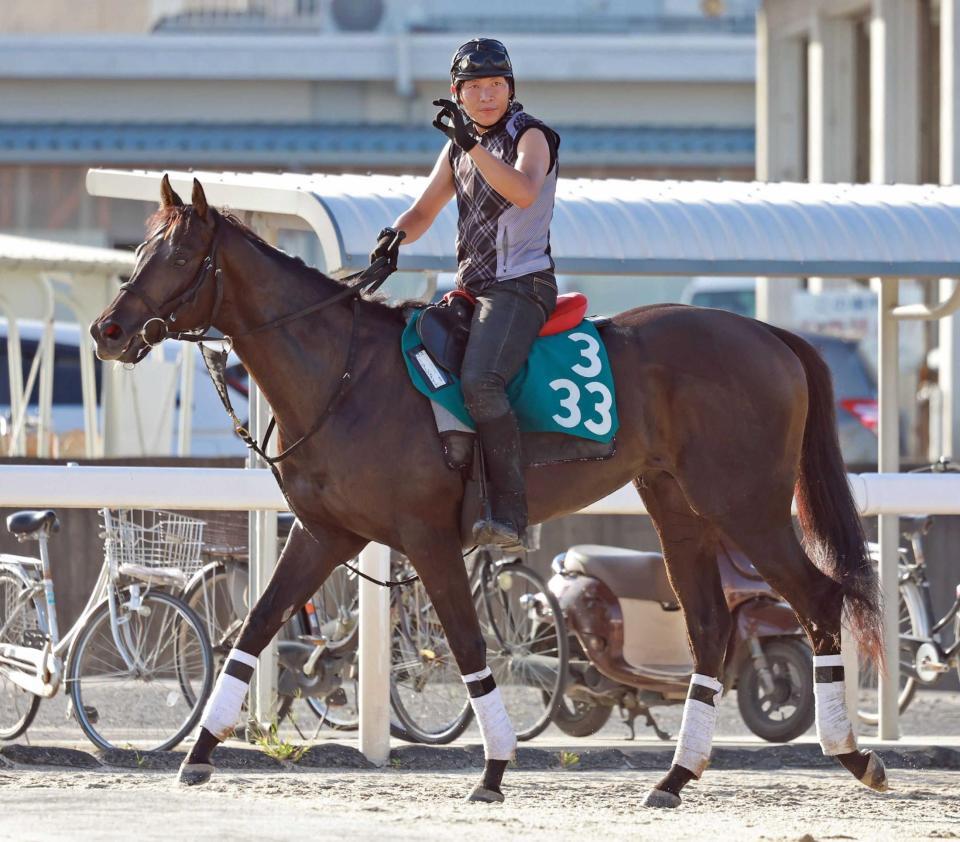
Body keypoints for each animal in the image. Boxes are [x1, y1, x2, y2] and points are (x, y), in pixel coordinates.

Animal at [90, 179, 884, 808]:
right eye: (140, 250)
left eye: (177, 257)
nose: (107, 330)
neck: (345, 374)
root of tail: (772, 335)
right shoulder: (324, 534)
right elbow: (254, 630)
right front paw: (198, 754)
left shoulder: (429, 539)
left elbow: (470, 645)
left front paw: (495, 768)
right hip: (678, 508)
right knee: (712, 629)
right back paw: (674, 778)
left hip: (747, 506)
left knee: (818, 599)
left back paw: (852, 754)